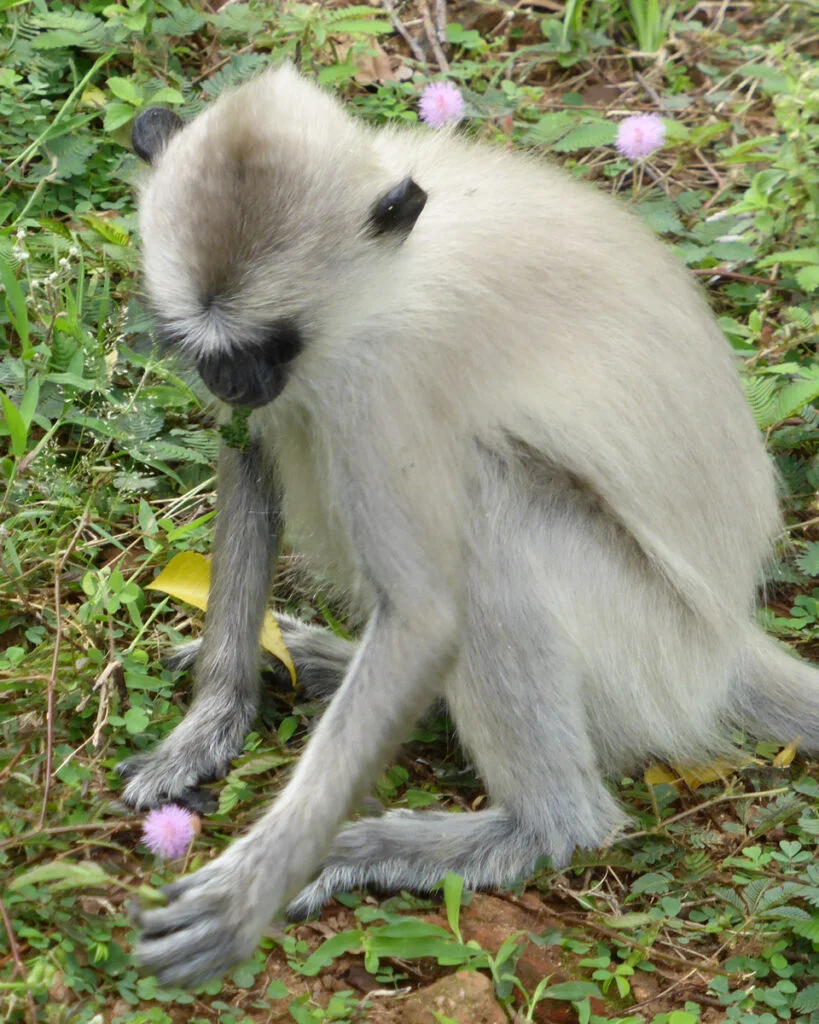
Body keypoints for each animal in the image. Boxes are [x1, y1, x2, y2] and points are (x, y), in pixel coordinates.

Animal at [120, 64, 819, 988]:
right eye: (197, 346)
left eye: (270, 342)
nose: (230, 383)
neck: (393, 267)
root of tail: (728, 644)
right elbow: (253, 459)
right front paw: (211, 723)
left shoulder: (378, 373)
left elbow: (425, 617)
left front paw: (250, 894)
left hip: (649, 648)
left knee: (489, 524)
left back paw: (535, 827)